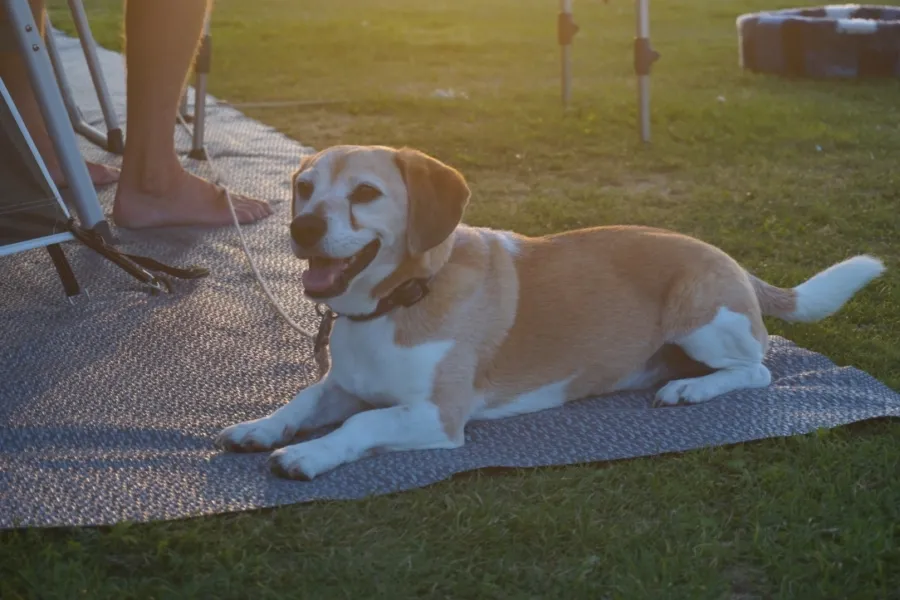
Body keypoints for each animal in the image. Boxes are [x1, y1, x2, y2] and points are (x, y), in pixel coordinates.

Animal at [216, 143, 884, 480]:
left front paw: (307, 455)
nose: (301, 227)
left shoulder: (436, 417)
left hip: (702, 320)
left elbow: (361, 425)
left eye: (364, 194)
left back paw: (690, 391)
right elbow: (304, 401)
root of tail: (730, 259)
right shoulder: (344, 386)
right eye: (304, 188)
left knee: (759, 370)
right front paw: (264, 427)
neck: (399, 300)